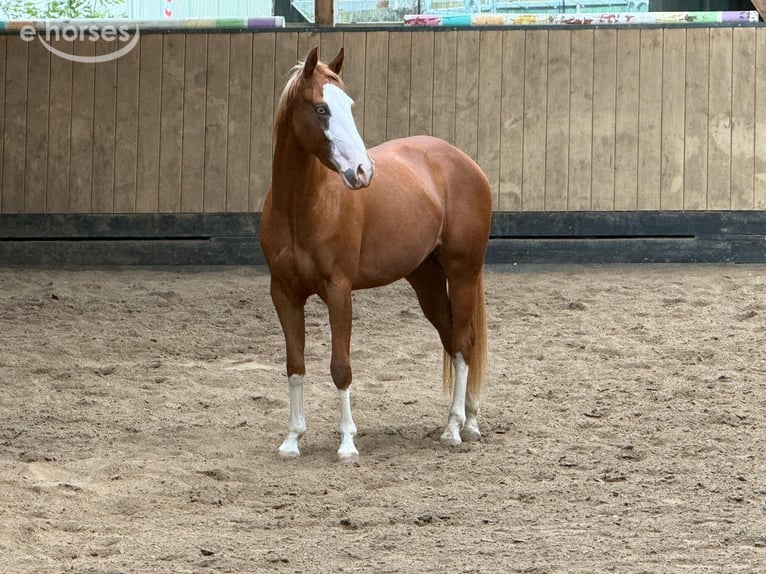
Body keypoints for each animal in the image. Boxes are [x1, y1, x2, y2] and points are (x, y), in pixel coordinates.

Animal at [259, 47, 492, 462]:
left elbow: (341, 367)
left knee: (464, 345)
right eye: (321, 109)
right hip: (427, 281)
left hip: (463, 272)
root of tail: (462, 161)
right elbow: (295, 365)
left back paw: (454, 428)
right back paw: (469, 419)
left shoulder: (339, 292)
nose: (362, 171)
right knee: (452, 340)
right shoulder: (283, 293)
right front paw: (292, 439)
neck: (302, 210)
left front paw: (347, 444)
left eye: (349, 106)